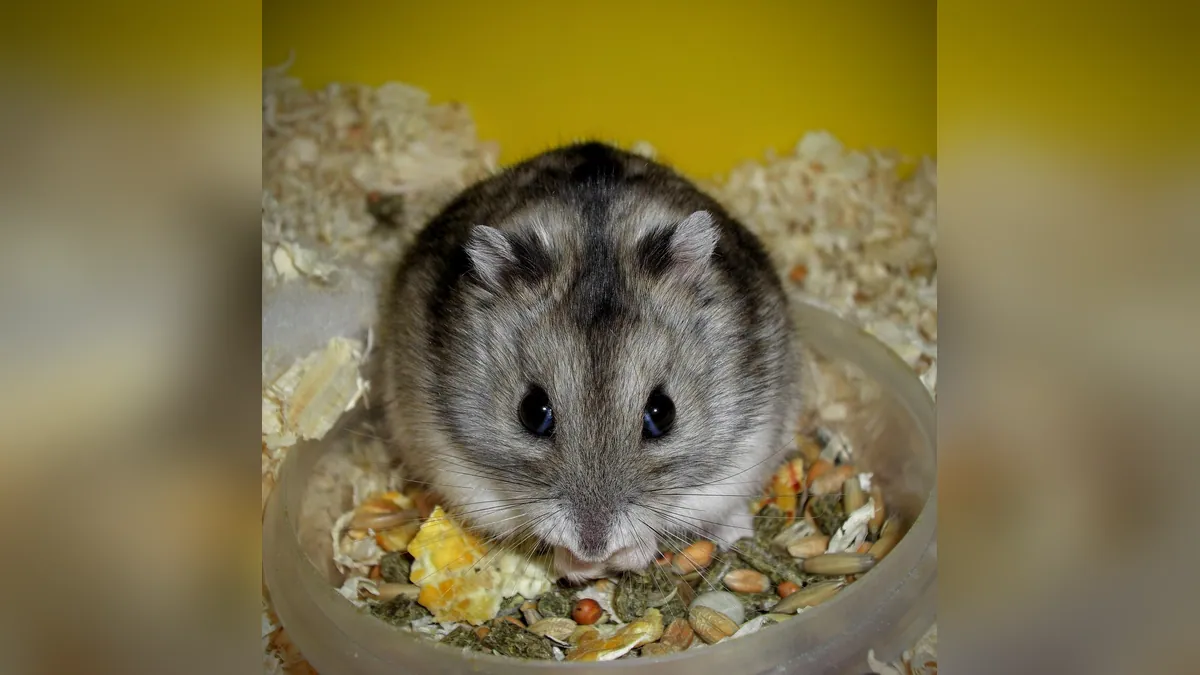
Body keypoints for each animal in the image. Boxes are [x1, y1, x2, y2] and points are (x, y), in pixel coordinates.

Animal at [379, 142, 800, 580]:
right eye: (532, 412)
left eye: (662, 414)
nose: (594, 547)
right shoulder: (462, 474)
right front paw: (579, 566)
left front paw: (619, 558)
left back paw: (737, 532)